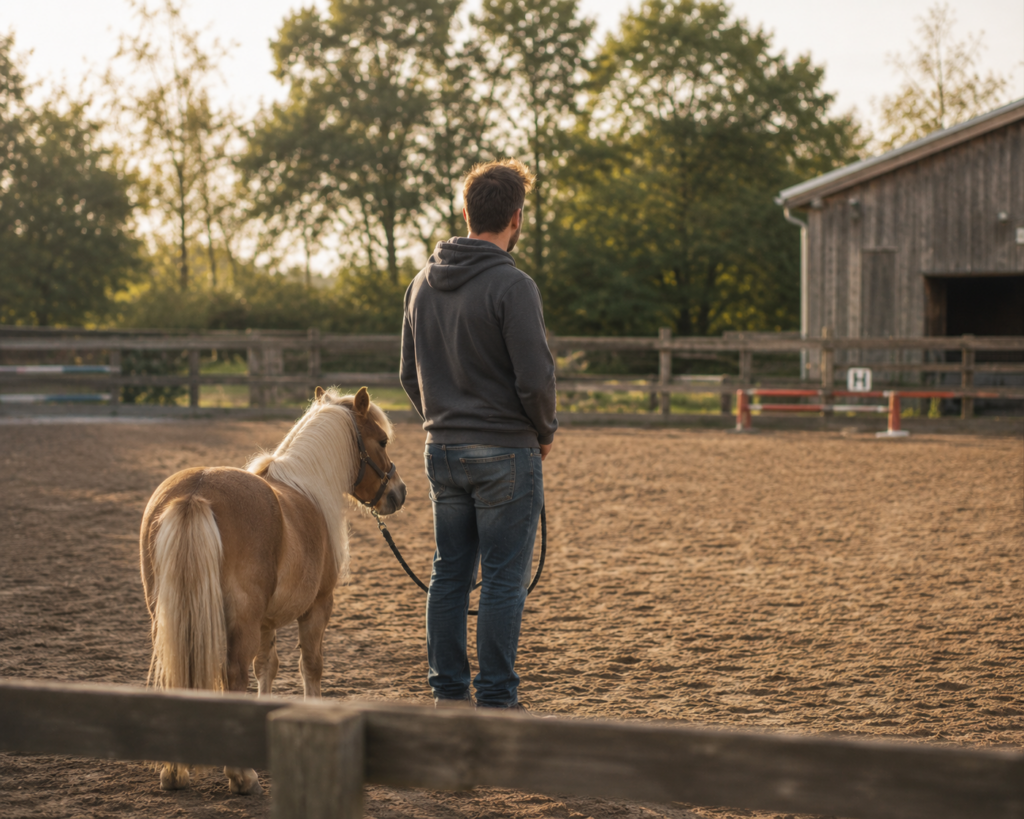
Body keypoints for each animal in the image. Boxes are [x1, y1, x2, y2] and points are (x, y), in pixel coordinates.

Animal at [138, 386, 406, 795]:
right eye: (382, 440)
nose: (398, 492)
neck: (306, 488)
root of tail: (195, 493)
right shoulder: (318, 608)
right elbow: (310, 666)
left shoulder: (266, 620)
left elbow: (267, 666)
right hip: (241, 621)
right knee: (233, 675)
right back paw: (241, 776)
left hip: (169, 616)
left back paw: (175, 771)